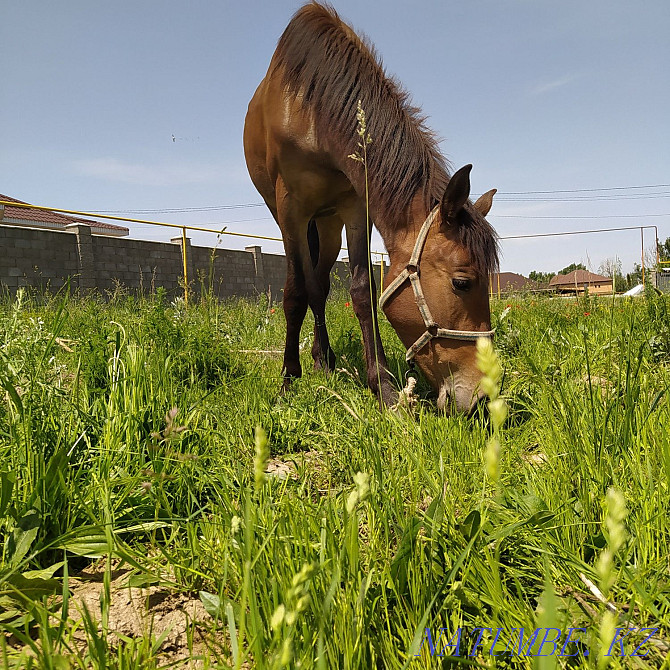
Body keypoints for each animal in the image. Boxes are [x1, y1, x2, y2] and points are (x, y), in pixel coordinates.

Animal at [245, 2, 498, 414]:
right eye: (462, 283)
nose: (481, 398)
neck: (312, 111)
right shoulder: (289, 210)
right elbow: (294, 294)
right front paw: (287, 381)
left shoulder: (355, 208)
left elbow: (362, 291)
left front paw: (382, 385)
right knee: (309, 287)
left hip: (328, 225)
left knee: (320, 286)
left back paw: (324, 359)